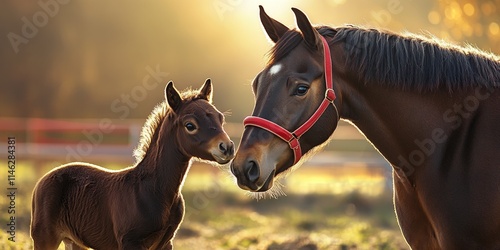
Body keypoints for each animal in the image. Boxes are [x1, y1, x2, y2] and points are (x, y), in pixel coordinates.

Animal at [31, 79, 234, 249]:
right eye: (190, 125)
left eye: (220, 118)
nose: (227, 147)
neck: (154, 190)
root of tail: (43, 179)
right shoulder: (131, 242)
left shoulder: (166, 243)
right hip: (44, 237)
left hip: (75, 242)